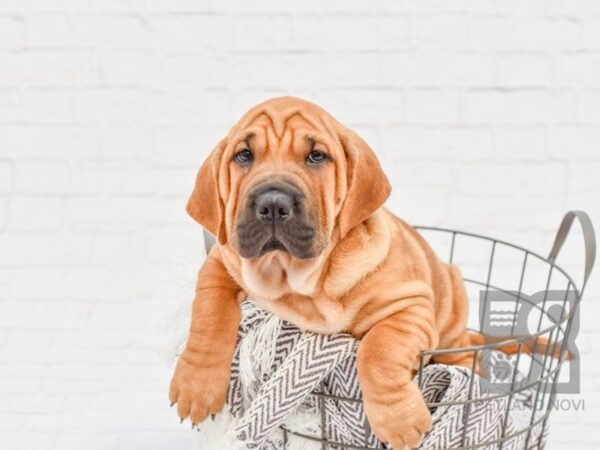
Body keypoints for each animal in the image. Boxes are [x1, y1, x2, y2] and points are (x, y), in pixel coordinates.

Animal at [171, 96, 476, 448]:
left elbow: (377, 350)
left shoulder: (410, 306)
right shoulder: (221, 261)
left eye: (316, 156)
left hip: (451, 313)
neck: (301, 279)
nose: (272, 204)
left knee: (462, 355)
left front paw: (399, 419)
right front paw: (196, 384)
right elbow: (210, 312)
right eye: (244, 155)